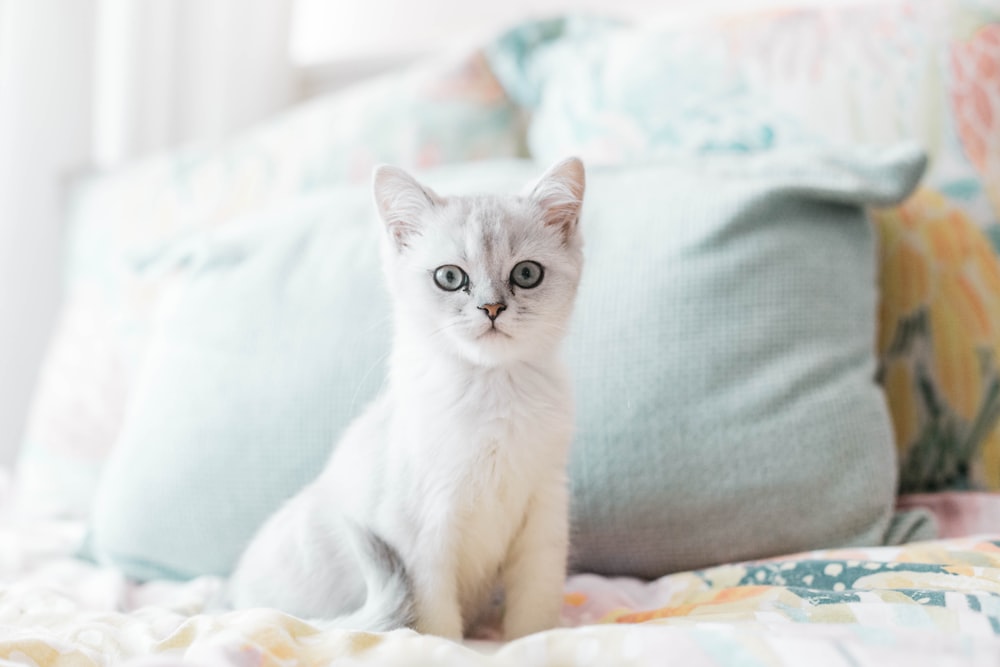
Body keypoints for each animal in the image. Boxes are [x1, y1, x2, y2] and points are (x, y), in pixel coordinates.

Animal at [229, 158, 584, 640]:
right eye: (450, 277)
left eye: (526, 274)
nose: (491, 309)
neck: (491, 392)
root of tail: (232, 603)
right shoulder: (419, 531)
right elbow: (435, 621)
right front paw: (450, 649)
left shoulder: (544, 507)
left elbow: (536, 605)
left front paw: (530, 642)